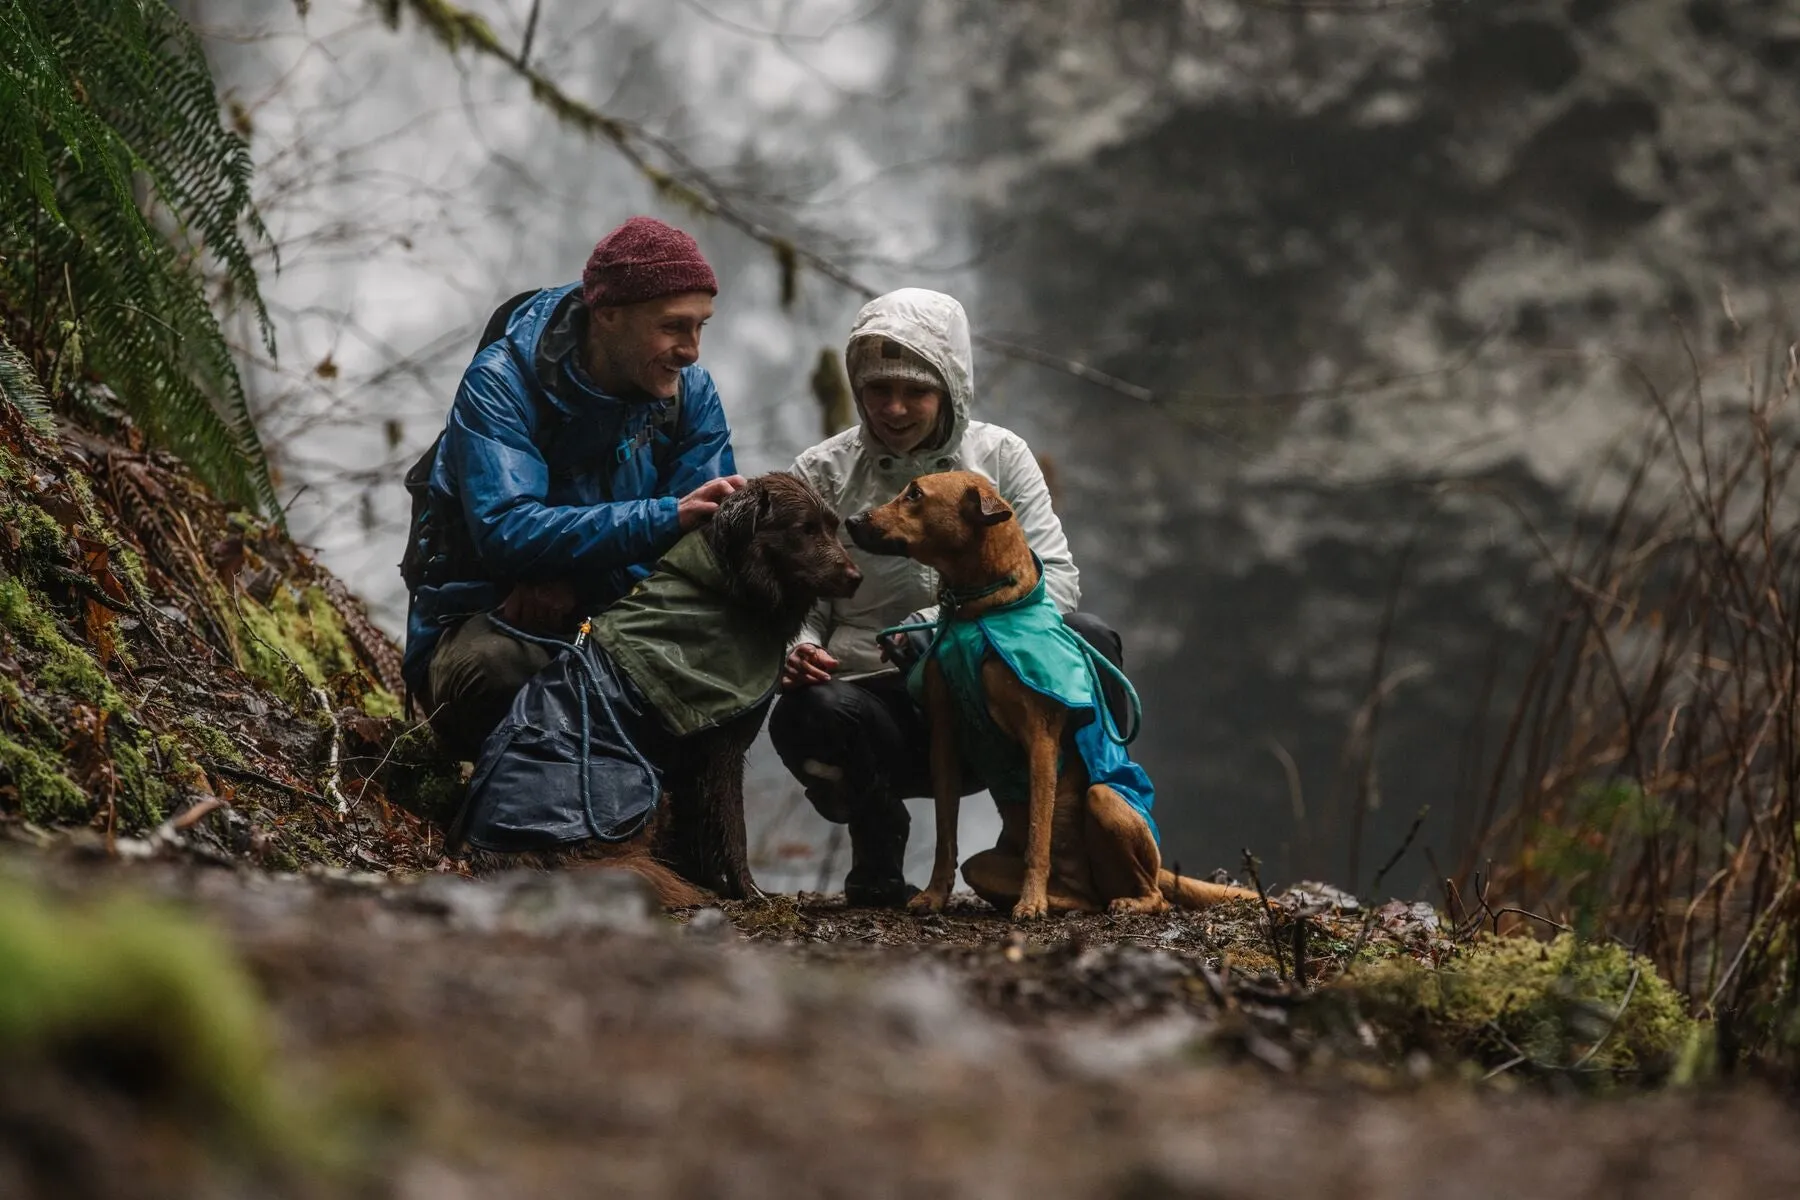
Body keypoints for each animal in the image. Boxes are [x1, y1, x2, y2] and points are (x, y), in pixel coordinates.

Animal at [471, 474, 864, 906]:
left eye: (832, 526)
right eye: (805, 529)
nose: (856, 577)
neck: (729, 587)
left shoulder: (694, 762)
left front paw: (719, 885)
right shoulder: (721, 748)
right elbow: (733, 829)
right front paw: (750, 892)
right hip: (647, 793)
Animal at [846, 467, 1260, 921]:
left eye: (915, 494)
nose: (851, 520)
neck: (979, 612)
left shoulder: (1040, 739)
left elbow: (1037, 837)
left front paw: (1030, 902)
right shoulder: (945, 741)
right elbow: (945, 836)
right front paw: (935, 896)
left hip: (1105, 801)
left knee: (1156, 896)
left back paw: (1122, 901)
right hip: (986, 867)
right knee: (1086, 898)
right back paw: (1068, 901)